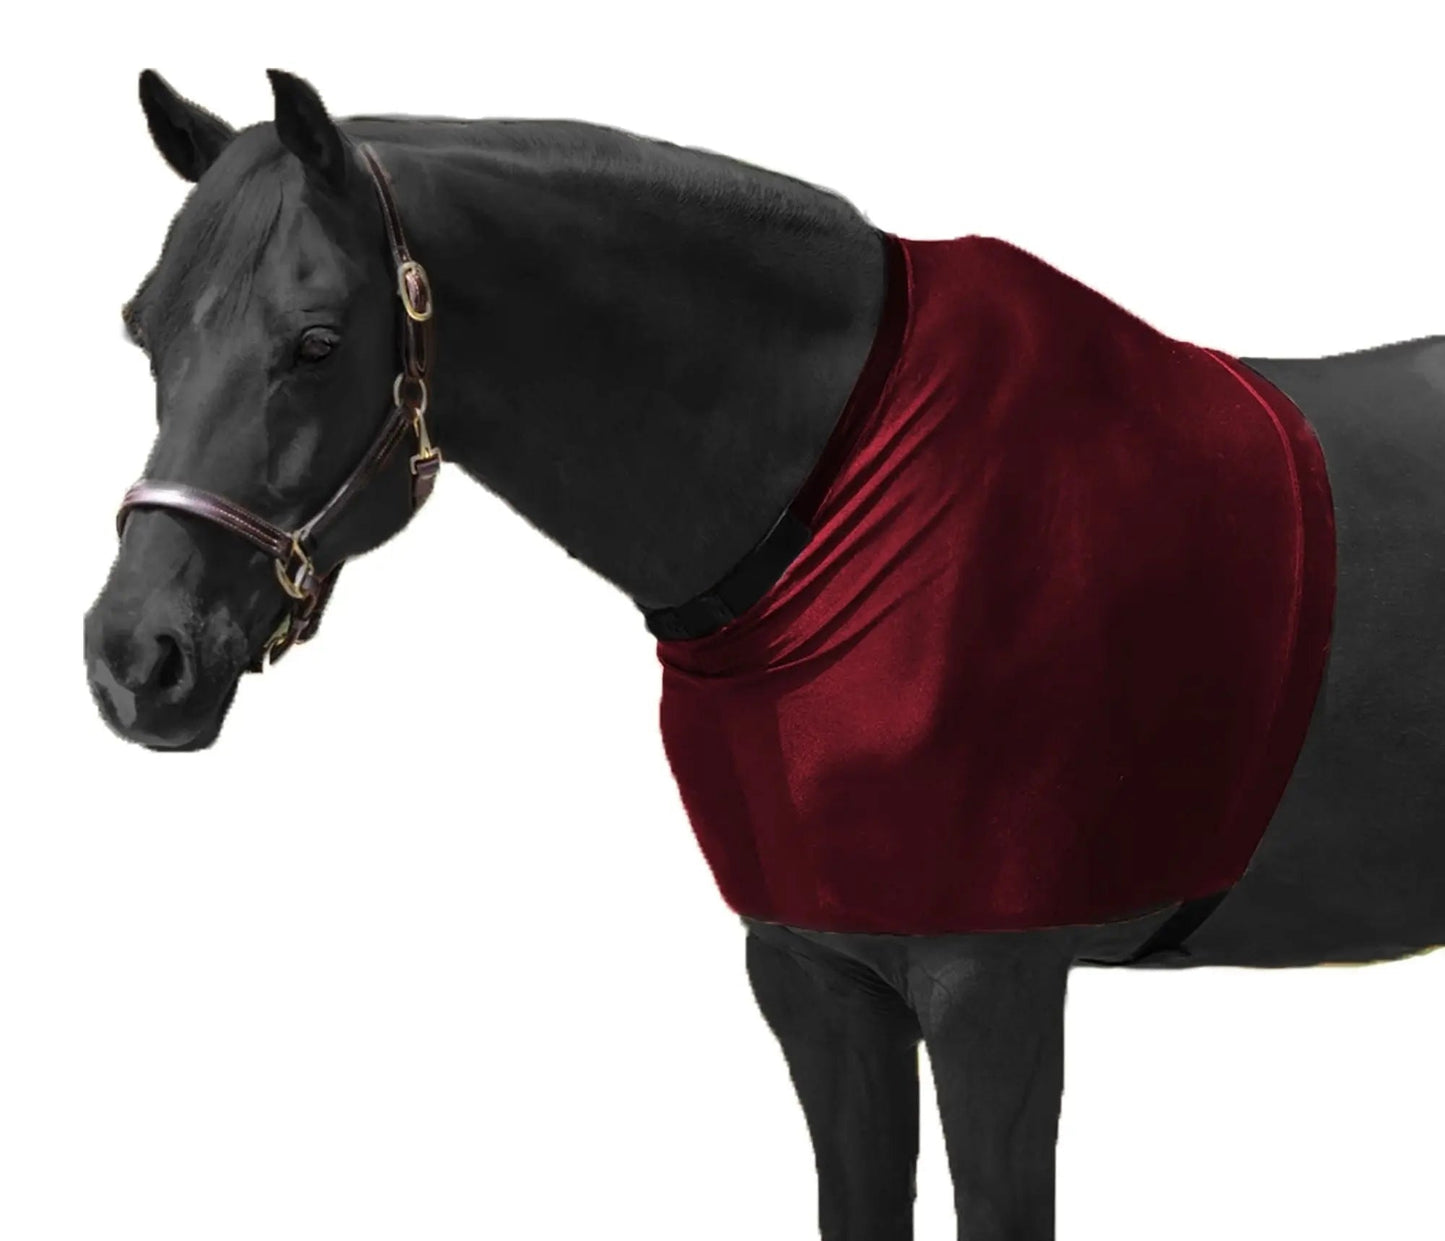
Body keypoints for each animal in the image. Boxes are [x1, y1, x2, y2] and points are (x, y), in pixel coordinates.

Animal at [83, 69, 1445, 1241]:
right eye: (143, 331)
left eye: (316, 340)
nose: (135, 656)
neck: (839, 499)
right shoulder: (814, 973)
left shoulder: (992, 986)